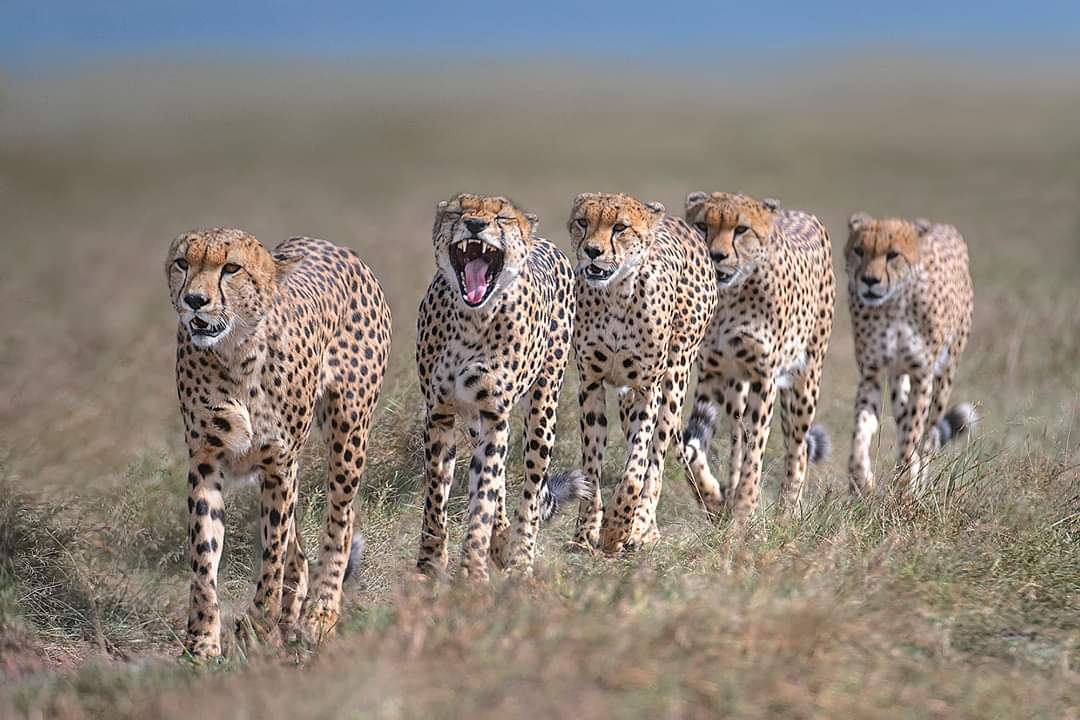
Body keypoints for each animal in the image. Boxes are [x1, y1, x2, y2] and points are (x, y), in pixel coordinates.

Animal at [166, 229, 390, 660]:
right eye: (183, 263)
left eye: (231, 268)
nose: (194, 300)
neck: (235, 351)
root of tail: (331, 244)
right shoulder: (206, 460)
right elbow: (204, 555)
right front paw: (202, 642)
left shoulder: (278, 465)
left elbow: (271, 556)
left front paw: (256, 627)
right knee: (298, 550)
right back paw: (290, 619)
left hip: (348, 433)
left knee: (339, 521)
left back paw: (320, 615)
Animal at [412, 194, 587, 582]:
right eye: (458, 211)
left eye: (502, 218)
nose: (475, 224)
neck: (471, 319)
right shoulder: (440, 414)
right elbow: (436, 496)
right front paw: (429, 564)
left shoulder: (495, 414)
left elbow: (483, 499)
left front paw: (473, 572)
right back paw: (502, 540)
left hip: (543, 410)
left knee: (531, 489)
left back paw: (520, 557)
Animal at [574, 189, 717, 552]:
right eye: (582, 222)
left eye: (620, 227)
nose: (592, 250)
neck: (614, 296)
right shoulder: (591, 384)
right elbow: (592, 464)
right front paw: (585, 533)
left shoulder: (646, 387)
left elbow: (637, 468)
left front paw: (617, 528)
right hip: (627, 395)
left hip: (675, 377)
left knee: (657, 459)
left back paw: (640, 527)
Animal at [682, 191, 833, 528]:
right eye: (702, 225)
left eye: (741, 229)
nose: (716, 255)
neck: (729, 297)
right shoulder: (711, 375)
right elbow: (691, 451)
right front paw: (712, 499)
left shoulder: (765, 379)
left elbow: (756, 453)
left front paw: (743, 513)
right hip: (736, 388)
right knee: (737, 439)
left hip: (805, 382)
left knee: (797, 451)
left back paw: (787, 515)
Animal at [842, 213, 980, 496]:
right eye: (859, 251)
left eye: (893, 255)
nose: (869, 281)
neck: (893, 304)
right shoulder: (872, 374)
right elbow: (861, 430)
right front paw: (861, 480)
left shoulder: (922, 374)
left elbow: (913, 431)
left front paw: (905, 483)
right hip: (898, 376)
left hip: (945, 375)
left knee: (928, 436)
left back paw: (919, 479)